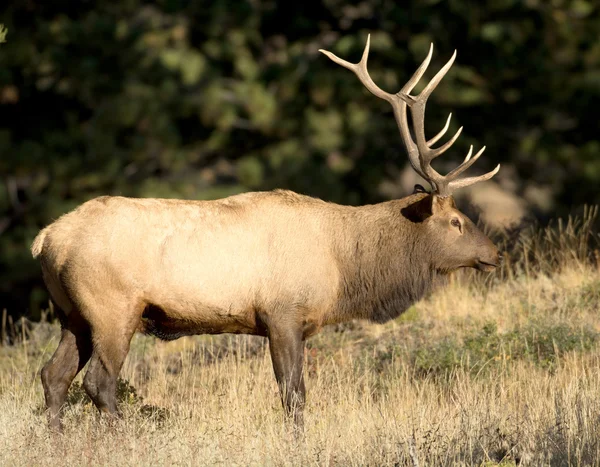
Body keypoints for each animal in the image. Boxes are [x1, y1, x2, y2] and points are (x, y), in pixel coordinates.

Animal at [31, 34, 502, 434]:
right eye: (456, 221)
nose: (495, 253)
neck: (345, 267)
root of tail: (45, 239)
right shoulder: (283, 314)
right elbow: (294, 396)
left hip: (72, 313)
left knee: (53, 376)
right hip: (113, 307)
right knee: (99, 382)